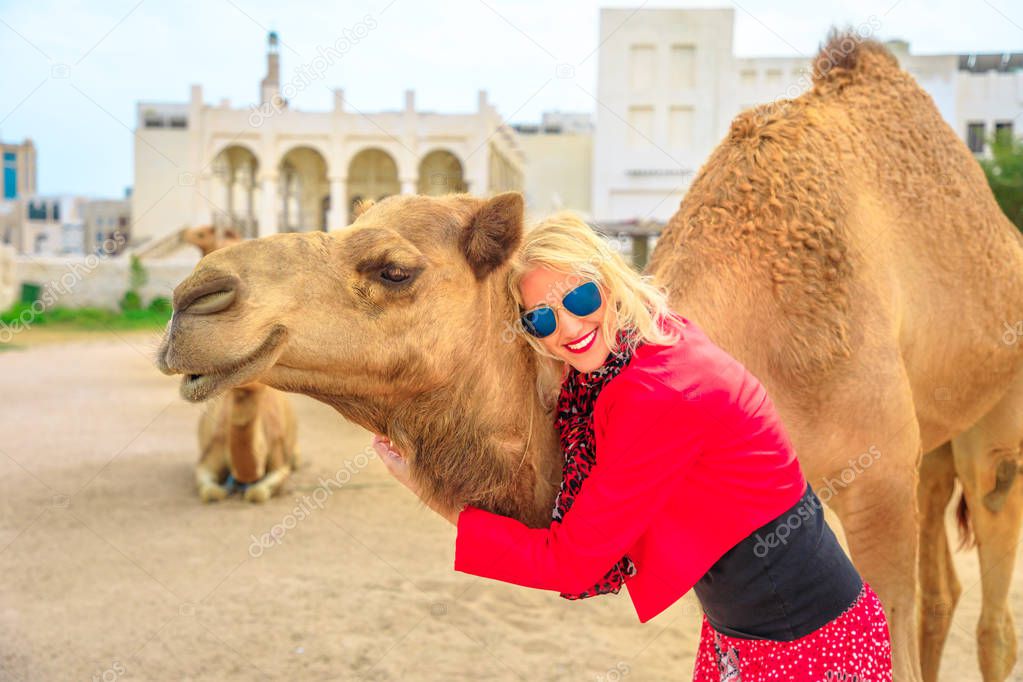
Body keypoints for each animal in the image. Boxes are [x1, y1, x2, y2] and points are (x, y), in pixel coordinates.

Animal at [153, 36, 1023, 682]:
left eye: (393, 269)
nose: (193, 302)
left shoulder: (876, 484)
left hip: (989, 423)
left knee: (988, 582)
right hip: (934, 439)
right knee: (945, 588)